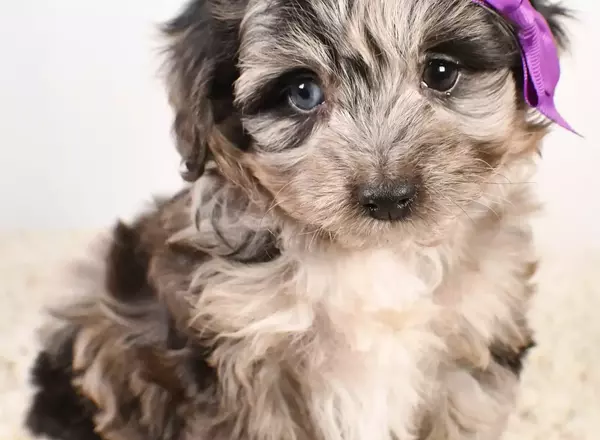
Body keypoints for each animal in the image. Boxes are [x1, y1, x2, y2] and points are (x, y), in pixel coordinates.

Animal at [23, 0, 568, 440]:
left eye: (440, 71)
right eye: (303, 92)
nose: (388, 198)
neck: (375, 255)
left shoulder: (473, 340)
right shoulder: (248, 362)